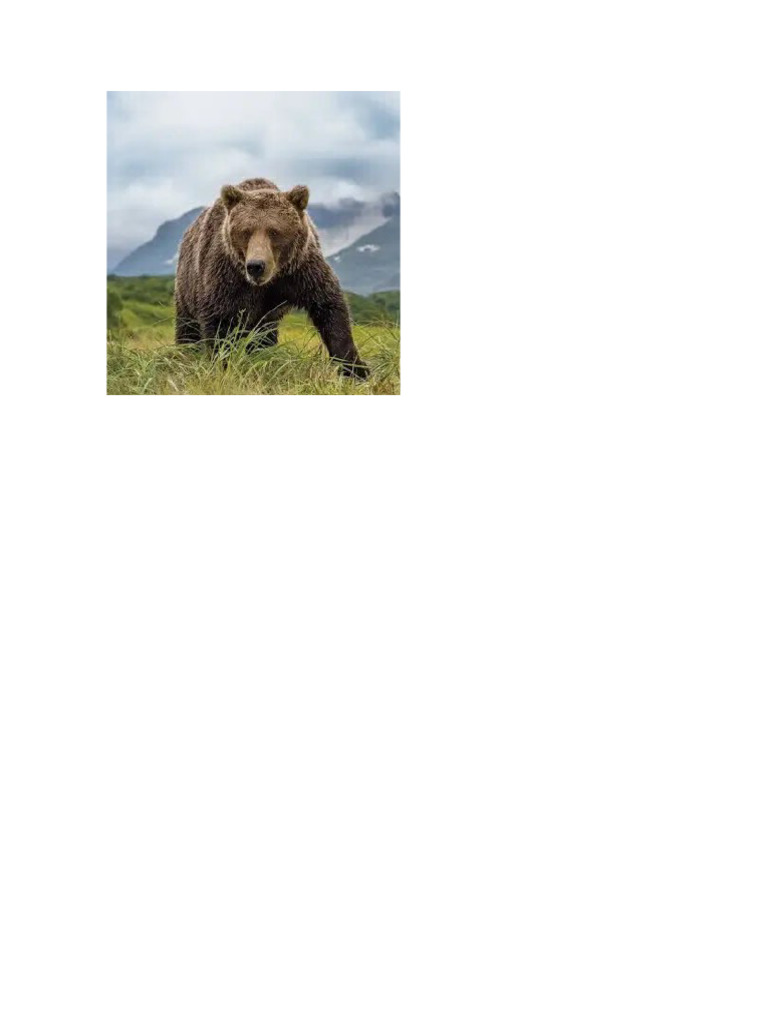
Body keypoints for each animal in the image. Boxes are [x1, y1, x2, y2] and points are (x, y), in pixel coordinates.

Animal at [174, 177, 368, 378]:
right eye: (245, 231)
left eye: (274, 231)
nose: (256, 266)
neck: (269, 280)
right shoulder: (227, 276)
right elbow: (221, 322)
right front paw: (224, 365)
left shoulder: (300, 271)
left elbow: (329, 306)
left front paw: (355, 368)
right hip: (186, 288)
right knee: (188, 328)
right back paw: (186, 353)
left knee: (264, 335)